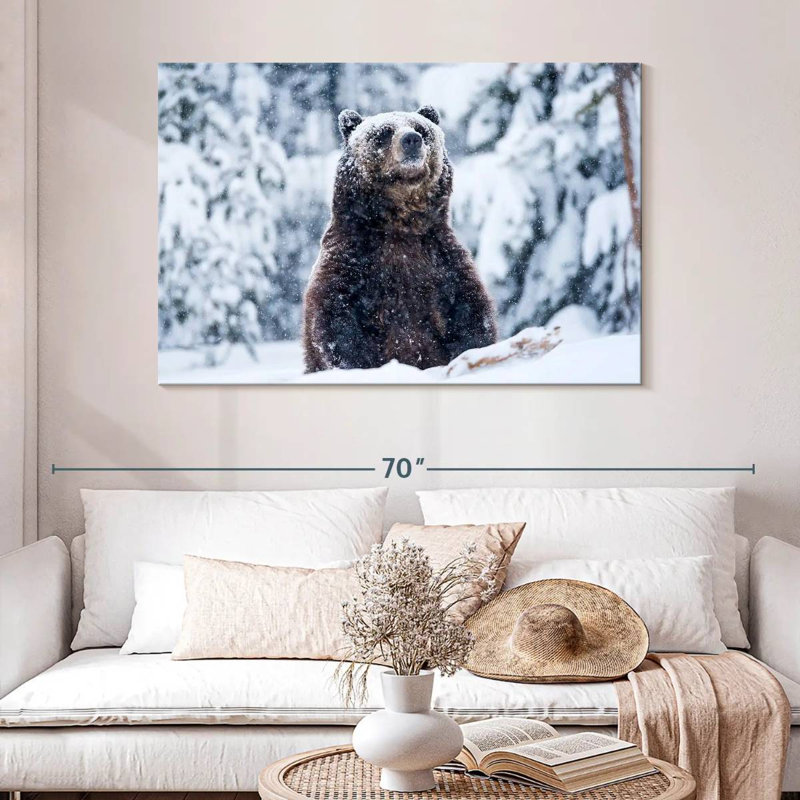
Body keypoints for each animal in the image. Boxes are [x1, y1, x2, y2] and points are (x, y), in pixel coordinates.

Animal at [302, 105, 497, 373]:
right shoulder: (352, 259)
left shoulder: (441, 260)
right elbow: (336, 319)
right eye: (384, 132)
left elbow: (469, 314)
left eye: (421, 129)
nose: (411, 139)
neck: (400, 226)